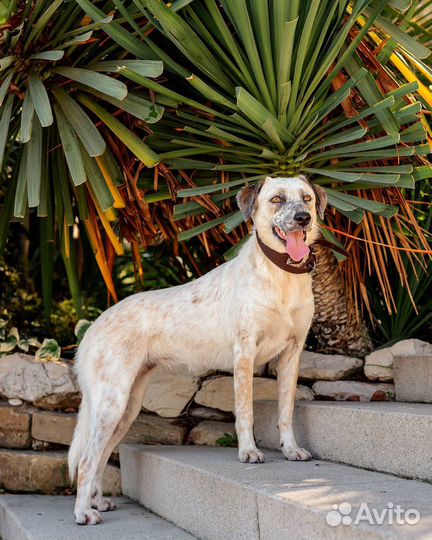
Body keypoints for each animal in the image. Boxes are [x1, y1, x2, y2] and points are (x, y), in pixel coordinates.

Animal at [69, 175, 328, 524]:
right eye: (276, 199)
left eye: (307, 198)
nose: (303, 218)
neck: (280, 276)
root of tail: (93, 327)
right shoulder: (244, 353)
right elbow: (245, 412)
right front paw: (248, 452)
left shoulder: (292, 353)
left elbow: (285, 411)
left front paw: (289, 449)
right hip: (111, 403)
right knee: (87, 460)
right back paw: (84, 512)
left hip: (126, 408)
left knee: (100, 456)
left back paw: (97, 502)